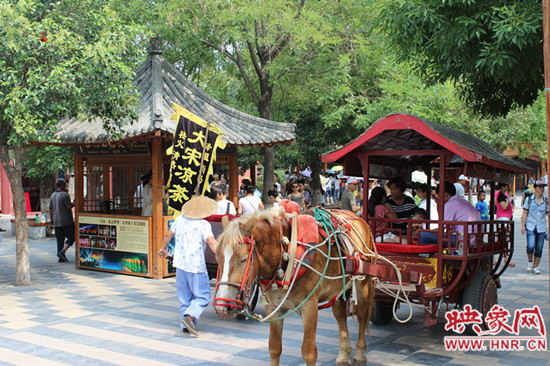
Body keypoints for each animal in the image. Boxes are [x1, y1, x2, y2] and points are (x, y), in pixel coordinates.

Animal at [213, 207, 378, 366]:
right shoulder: (273, 308)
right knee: (340, 313)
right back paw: (343, 354)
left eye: (243, 259)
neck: (286, 256)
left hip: (362, 281)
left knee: (362, 314)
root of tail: (354, 215)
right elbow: (274, 348)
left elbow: (309, 353)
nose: (222, 307)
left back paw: (359, 354)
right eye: (217, 256)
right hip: (337, 287)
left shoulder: (309, 307)